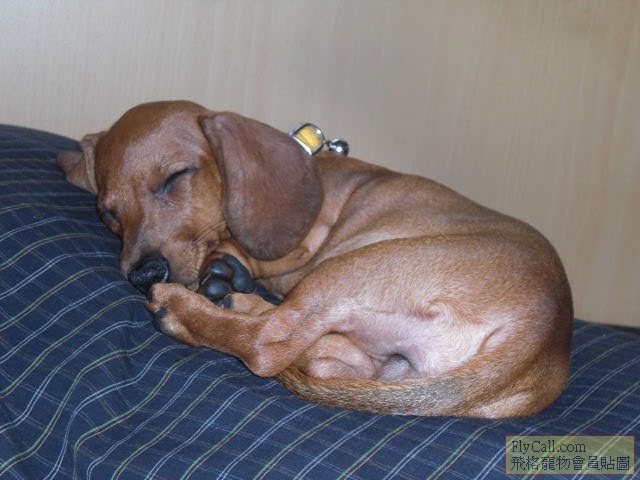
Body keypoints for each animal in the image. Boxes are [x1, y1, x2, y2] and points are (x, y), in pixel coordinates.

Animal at [57, 101, 573, 417]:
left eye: (175, 177)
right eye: (108, 212)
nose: (144, 274)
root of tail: (543, 337)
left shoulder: (308, 246)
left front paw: (226, 266)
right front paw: (226, 271)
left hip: (352, 266)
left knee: (270, 341)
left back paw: (188, 308)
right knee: (320, 354)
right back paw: (230, 295)